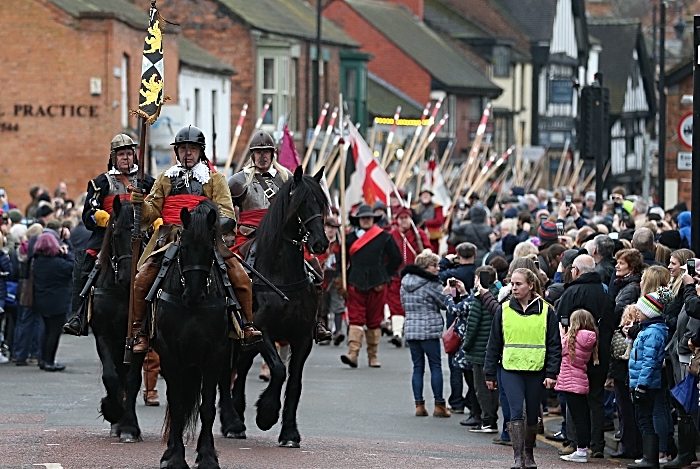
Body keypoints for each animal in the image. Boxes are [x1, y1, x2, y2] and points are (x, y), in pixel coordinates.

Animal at [153, 199, 230, 468]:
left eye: (209, 247)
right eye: (183, 246)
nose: (194, 294)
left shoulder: (215, 354)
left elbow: (207, 407)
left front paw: (207, 455)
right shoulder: (169, 353)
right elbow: (177, 405)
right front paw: (175, 457)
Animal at [221, 165, 330, 446]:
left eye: (321, 203)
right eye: (301, 203)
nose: (320, 244)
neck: (282, 273)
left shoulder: (303, 338)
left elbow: (294, 383)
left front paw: (290, 432)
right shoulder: (263, 332)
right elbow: (279, 370)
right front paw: (267, 413)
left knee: (240, 369)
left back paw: (237, 416)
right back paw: (231, 422)